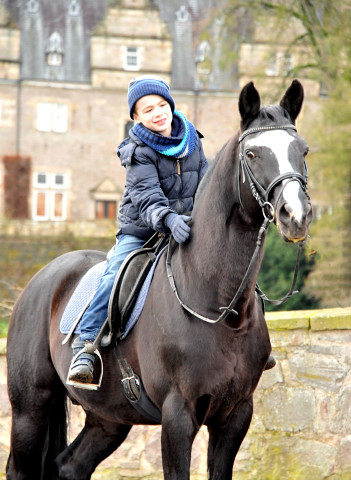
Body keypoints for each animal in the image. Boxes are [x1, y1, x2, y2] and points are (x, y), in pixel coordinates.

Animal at [6, 80, 314, 478]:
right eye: (252, 154)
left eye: (302, 149)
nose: (296, 215)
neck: (220, 307)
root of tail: (41, 279)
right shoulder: (177, 415)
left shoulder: (236, 414)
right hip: (30, 408)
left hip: (109, 419)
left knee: (70, 466)